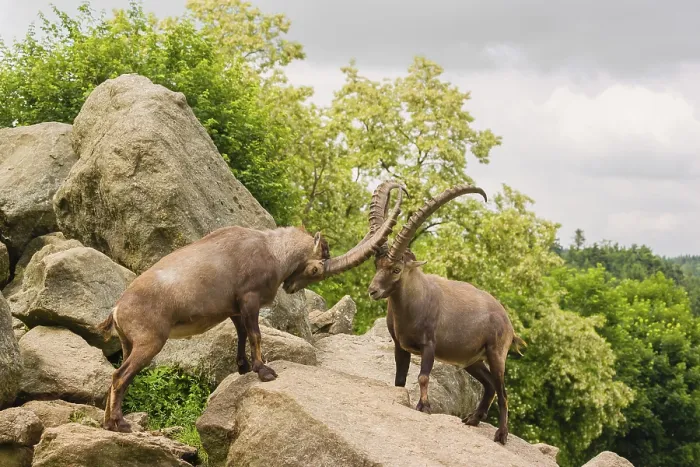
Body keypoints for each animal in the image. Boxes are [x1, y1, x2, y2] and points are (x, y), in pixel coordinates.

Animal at [96, 184, 405, 432]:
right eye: (316, 268)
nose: (291, 287)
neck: (274, 251)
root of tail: (117, 310)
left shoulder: (235, 308)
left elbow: (242, 334)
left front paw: (243, 367)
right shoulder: (250, 298)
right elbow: (256, 333)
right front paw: (264, 371)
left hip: (129, 344)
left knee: (118, 376)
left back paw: (111, 422)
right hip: (150, 342)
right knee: (119, 376)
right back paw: (119, 424)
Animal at [366, 183, 526, 444]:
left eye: (397, 269)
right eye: (376, 265)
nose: (373, 291)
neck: (414, 303)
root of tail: (508, 322)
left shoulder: (429, 344)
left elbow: (423, 376)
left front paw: (424, 406)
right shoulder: (401, 346)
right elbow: (399, 380)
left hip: (496, 354)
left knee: (503, 392)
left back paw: (501, 434)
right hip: (473, 360)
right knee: (490, 386)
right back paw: (473, 419)